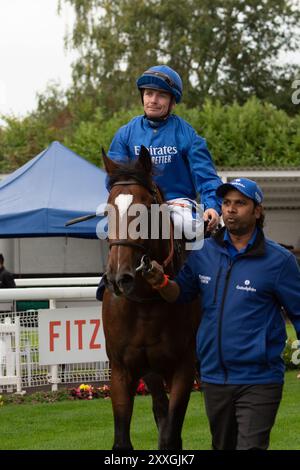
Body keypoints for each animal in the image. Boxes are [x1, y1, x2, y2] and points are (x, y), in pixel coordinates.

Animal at [101, 145, 202, 450]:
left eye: (145, 206)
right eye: (107, 209)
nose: (118, 277)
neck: (146, 305)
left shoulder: (183, 368)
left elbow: (171, 436)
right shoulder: (122, 370)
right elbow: (123, 440)